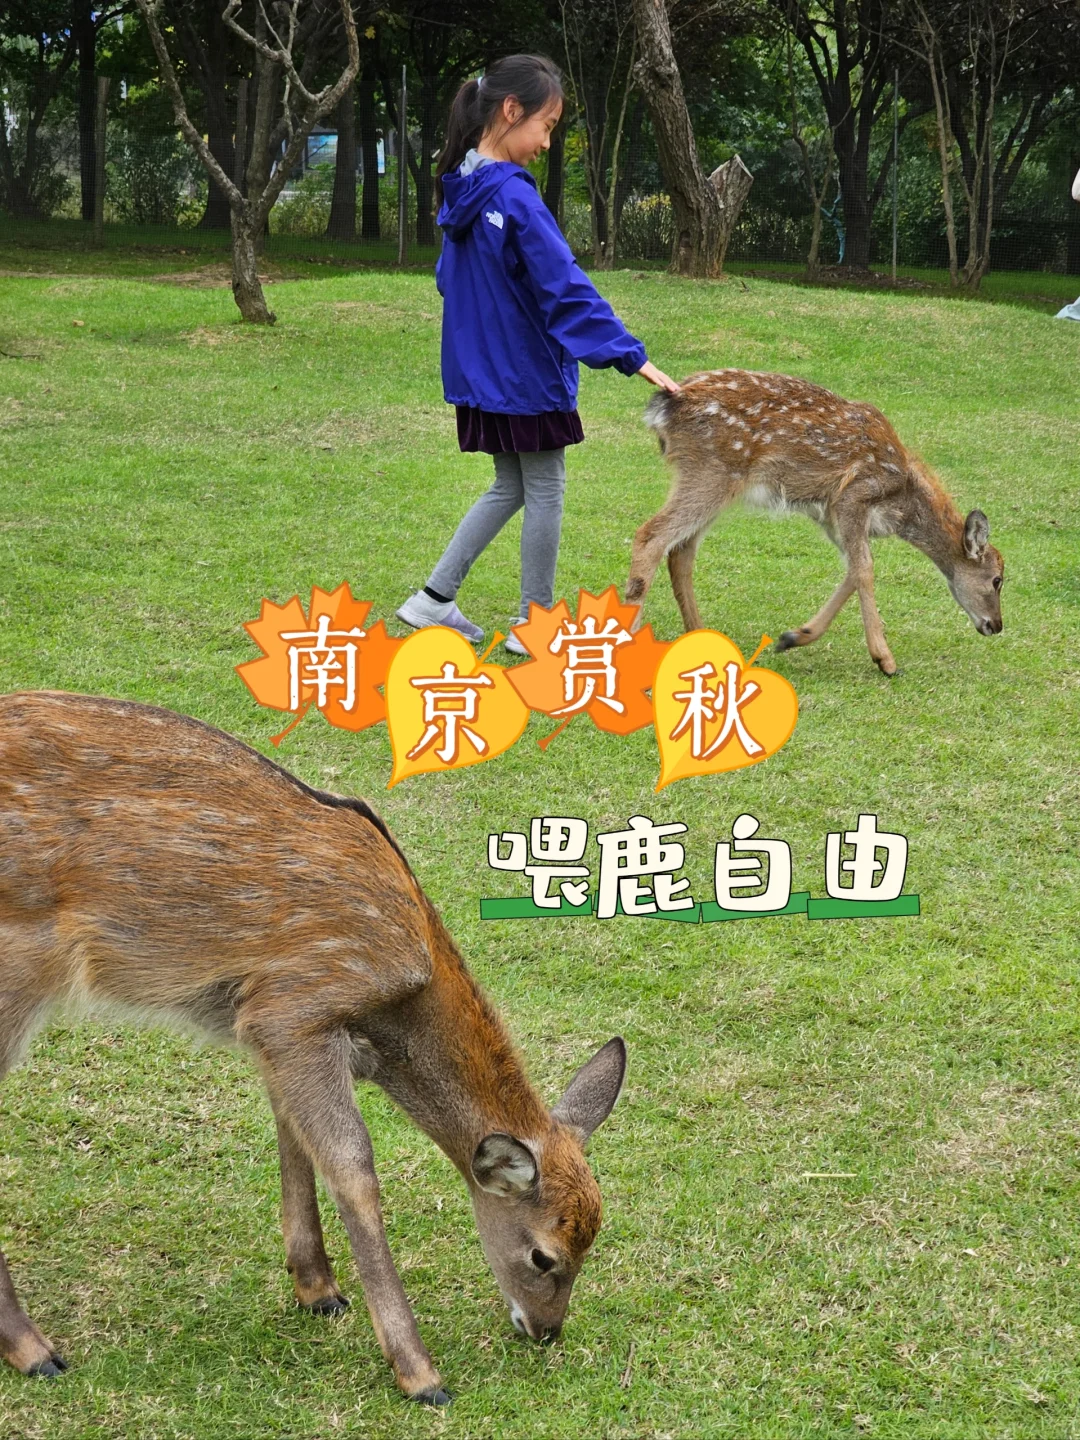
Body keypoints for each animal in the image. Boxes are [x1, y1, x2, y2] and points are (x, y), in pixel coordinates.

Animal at [0, 690, 626, 1406]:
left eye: (592, 1243)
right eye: (544, 1255)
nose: (546, 1331)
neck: (394, 1005)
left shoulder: (271, 1028)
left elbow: (290, 1128)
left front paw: (318, 1288)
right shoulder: (295, 1004)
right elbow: (352, 1166)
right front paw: (420, 1374)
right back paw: (35, 1351)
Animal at [625, 369, 1004, 675]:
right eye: (997, 579)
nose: (997, 625)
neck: (901, 497)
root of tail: (663, 406)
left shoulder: (830, 514)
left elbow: (853, 569)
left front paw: (794, 636)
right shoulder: (854, 495)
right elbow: (865, 568)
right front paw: (885, 659)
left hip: (714, 483)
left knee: (682, 549)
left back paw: (700, 634)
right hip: (711, 471)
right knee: (651, 535)